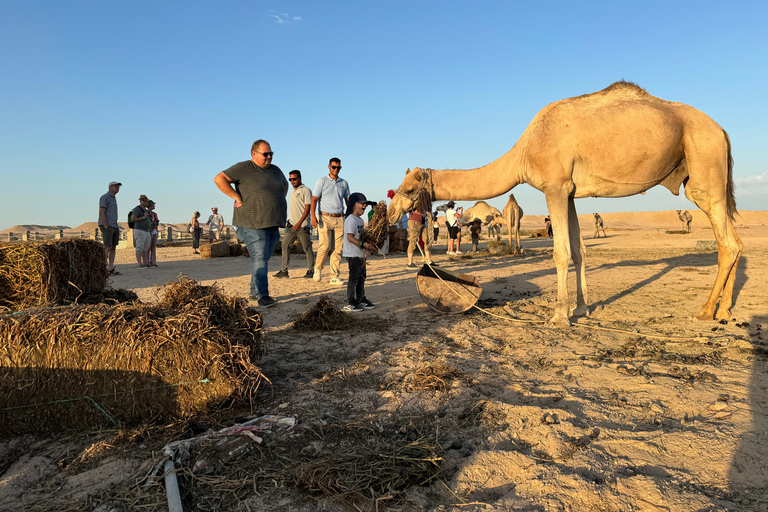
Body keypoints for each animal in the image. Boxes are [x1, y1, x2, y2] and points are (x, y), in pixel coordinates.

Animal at [388, 81, 742, 327]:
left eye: (408, 188)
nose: (390, 212)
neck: (524, 152)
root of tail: (723, 131)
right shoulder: (569, 192)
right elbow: (580, 250)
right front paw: (581, 308)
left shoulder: (555, 186)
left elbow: (561, 252)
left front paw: (559, 316)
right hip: (709, 177)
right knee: (736, 241)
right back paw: (725, 311)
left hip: (705, 169)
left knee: (726, 242)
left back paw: (705, 311)